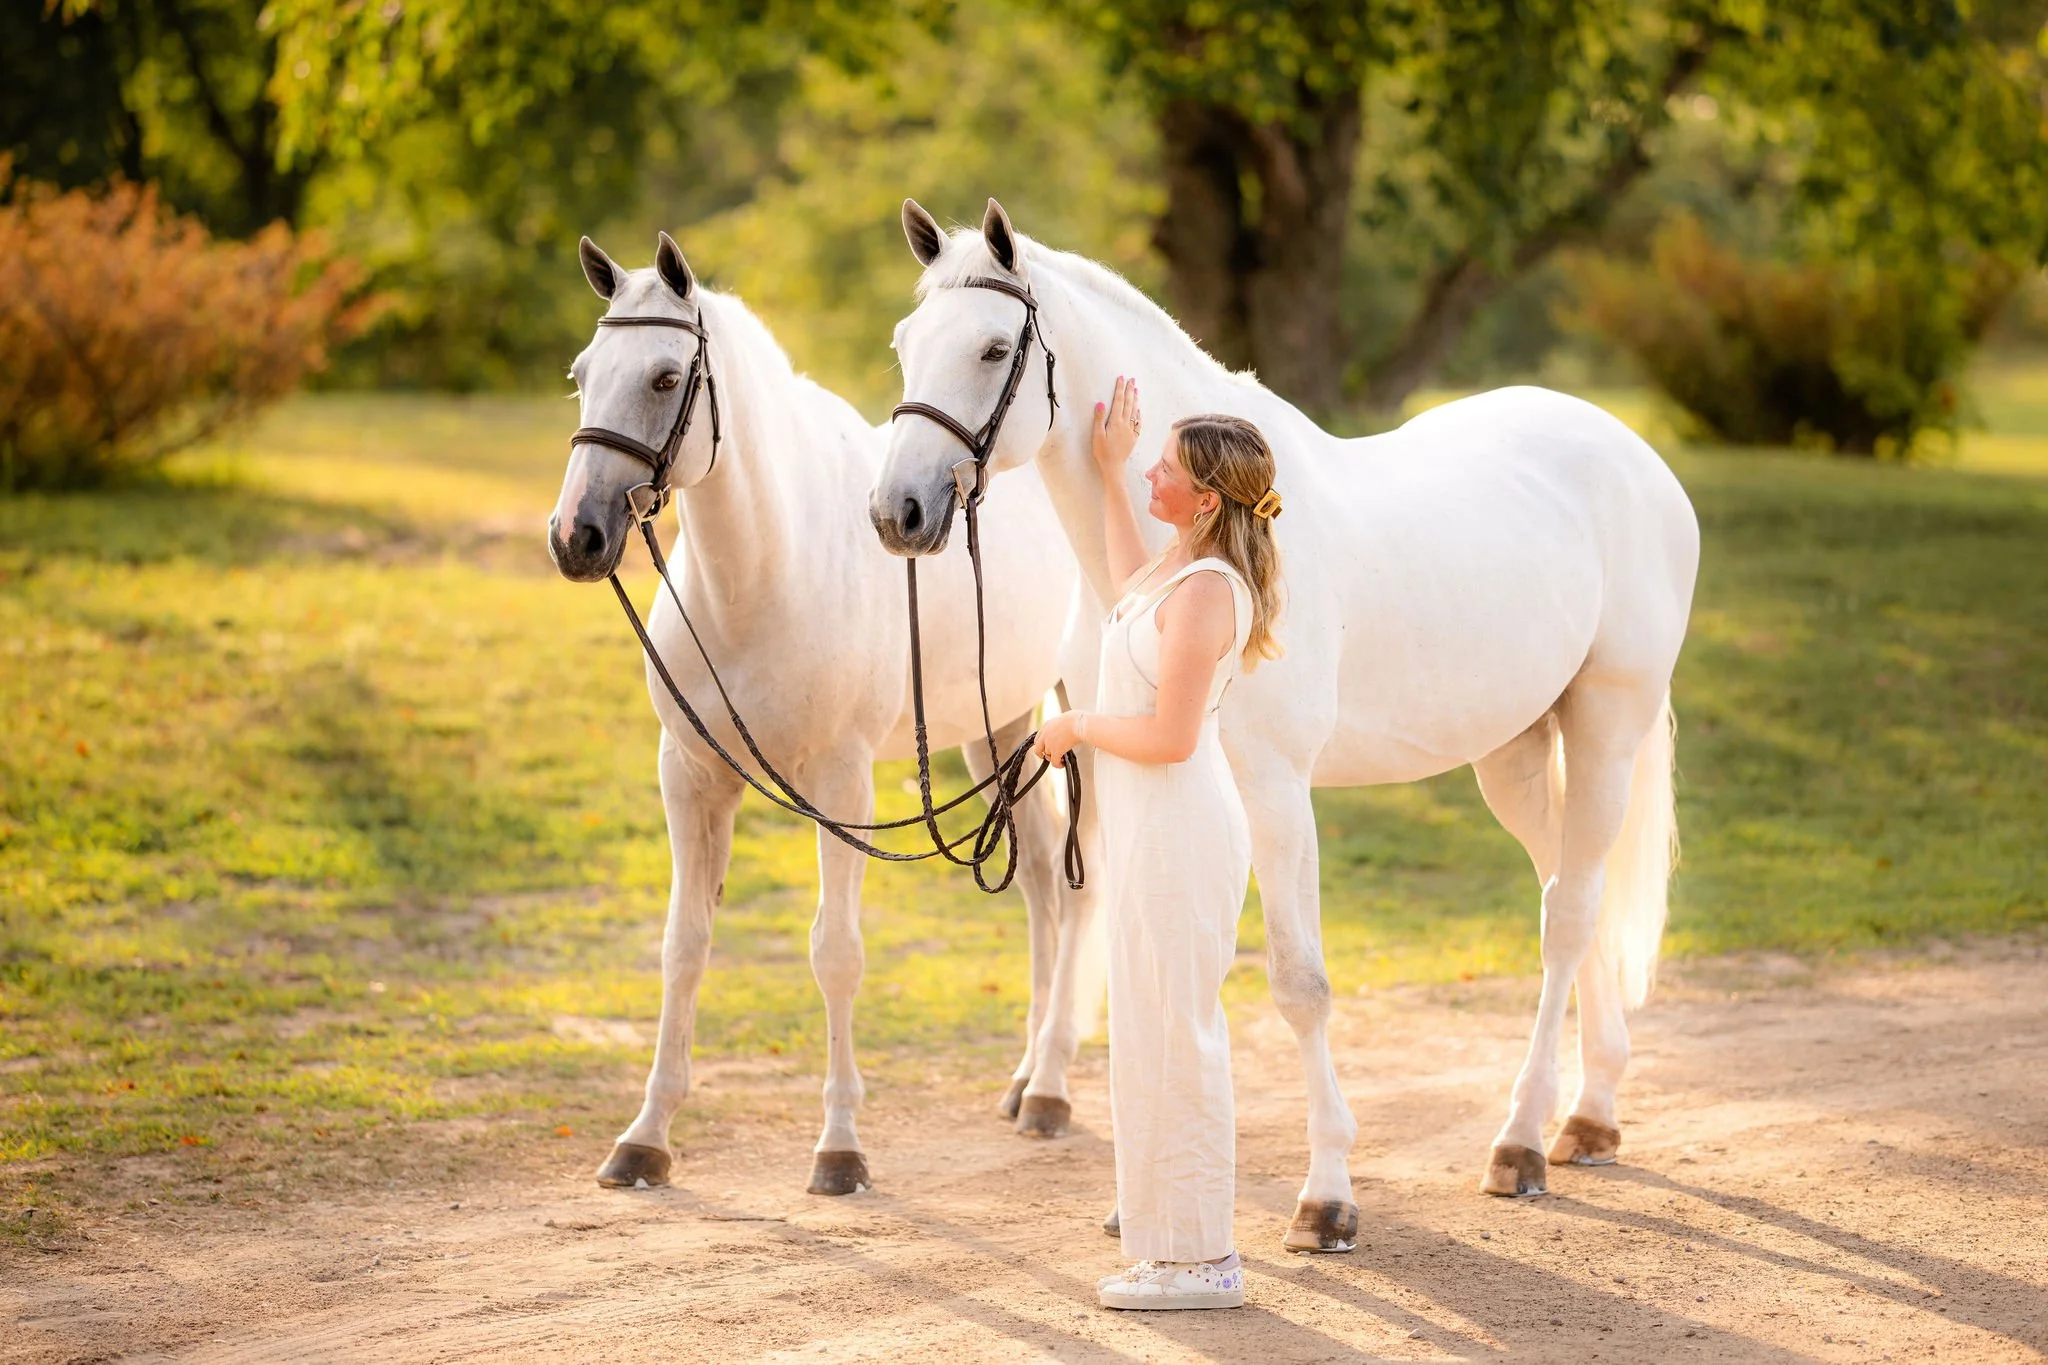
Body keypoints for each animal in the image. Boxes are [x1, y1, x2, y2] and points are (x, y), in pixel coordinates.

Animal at [548, 231, 1100, 1196]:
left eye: (664, 376)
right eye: (582, 375)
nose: (575, 536)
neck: (767, 571)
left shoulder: (841, 786)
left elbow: (835, 952)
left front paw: (840, 1148)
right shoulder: (689, 776)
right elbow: (683, 945)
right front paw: (645, 1138)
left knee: (1080, 884)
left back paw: (1052, 1090)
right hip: (999, 728)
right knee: (1037, 878)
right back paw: (1025, 1079)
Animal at [870, 199, 1699, 1250]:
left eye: (987, 348)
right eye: (905, 344)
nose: (896, 511)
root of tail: (1635, 455)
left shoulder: (1272, 788)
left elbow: (1301, 985)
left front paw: (1328, 1198)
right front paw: (1136, 1203)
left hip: (1605, 725)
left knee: (1570, 915)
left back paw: (1522, 1142)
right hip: (1513, 754)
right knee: (1569, 889)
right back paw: (1590, 1114)